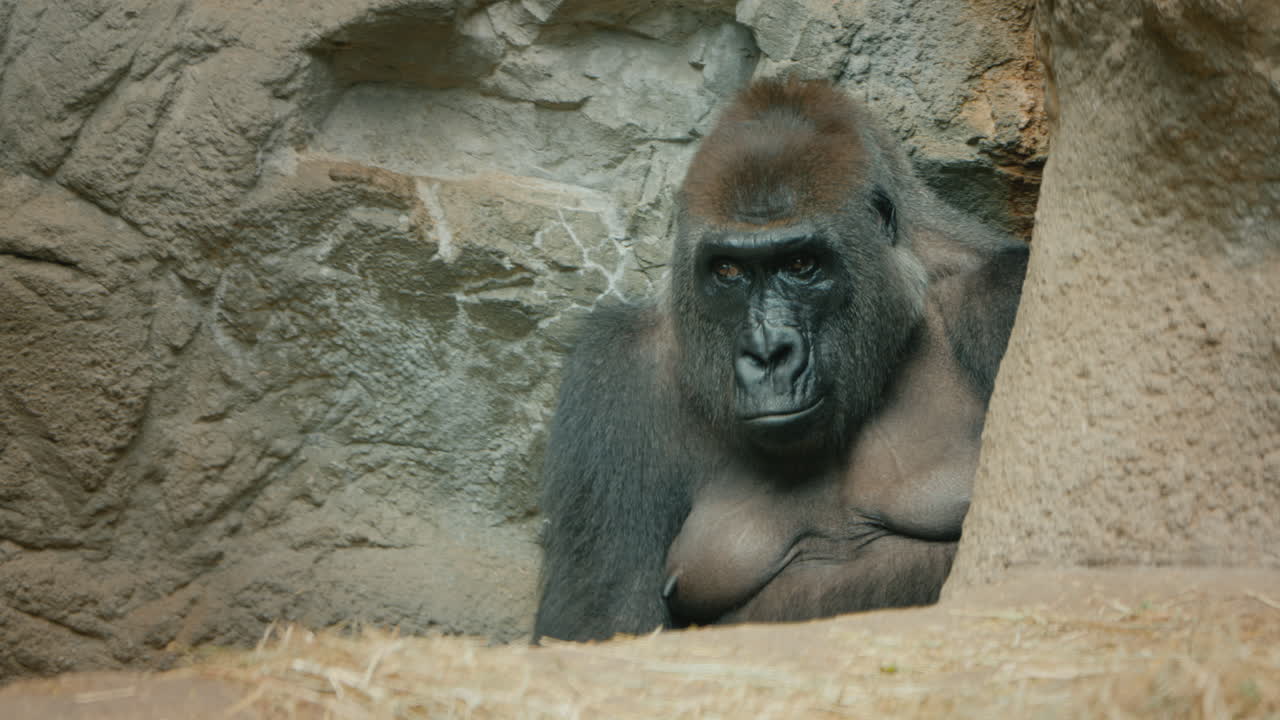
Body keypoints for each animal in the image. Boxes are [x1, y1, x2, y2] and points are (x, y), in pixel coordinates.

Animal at [533, 78, 1026, 641]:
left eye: (801, 264)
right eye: (728, 271)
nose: (768, 353)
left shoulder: (1003, 295)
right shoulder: (616, 372)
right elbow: (603, 621)